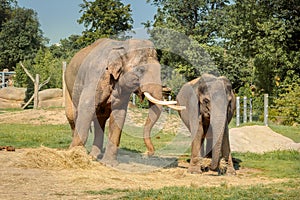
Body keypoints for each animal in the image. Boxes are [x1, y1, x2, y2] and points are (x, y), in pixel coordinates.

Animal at [65, 38, 183, 166]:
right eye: (141, 70)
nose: (148, 153)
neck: (122, 45)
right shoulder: (94, 78)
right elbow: (87, 108)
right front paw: (74, 156)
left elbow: (119, 114)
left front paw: (109, 164)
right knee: (73, 116)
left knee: (99, 120)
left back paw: (94, 156)